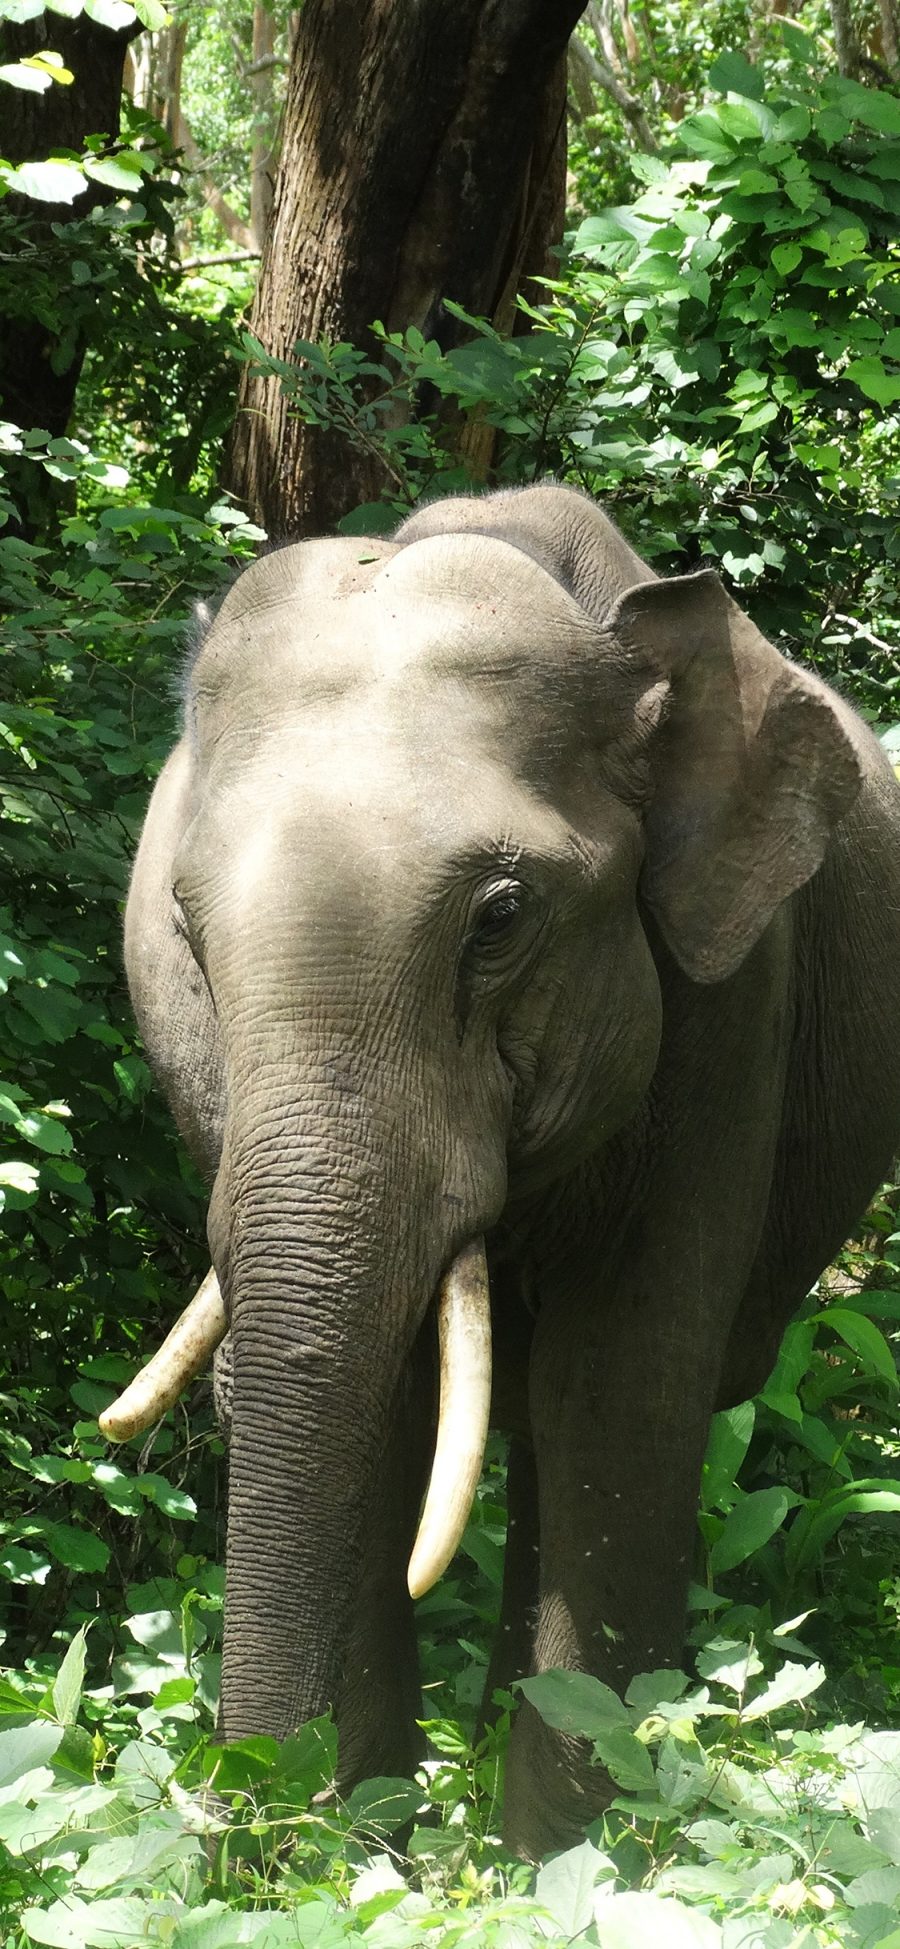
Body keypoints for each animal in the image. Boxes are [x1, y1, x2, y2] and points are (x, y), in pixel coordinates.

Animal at [101, 487, 900, 1855]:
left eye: (501, 917)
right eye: (187, 934)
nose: (248, 1815)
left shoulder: (733, 1001)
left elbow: (621, 1385)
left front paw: (561, 1861)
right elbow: (378, 1394)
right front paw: (364, 1846)